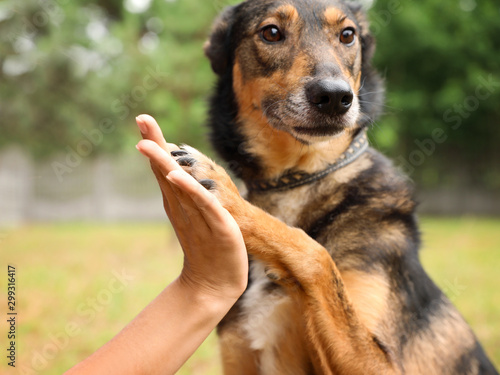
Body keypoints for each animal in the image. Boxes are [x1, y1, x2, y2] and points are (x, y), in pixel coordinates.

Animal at [169, 0, 500, 374]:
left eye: (347, 35)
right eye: (271, 32)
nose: (334, 96)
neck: (298, 178)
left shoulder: (383, 364)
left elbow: (316, 253)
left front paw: (229, 195)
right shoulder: (238, 354)